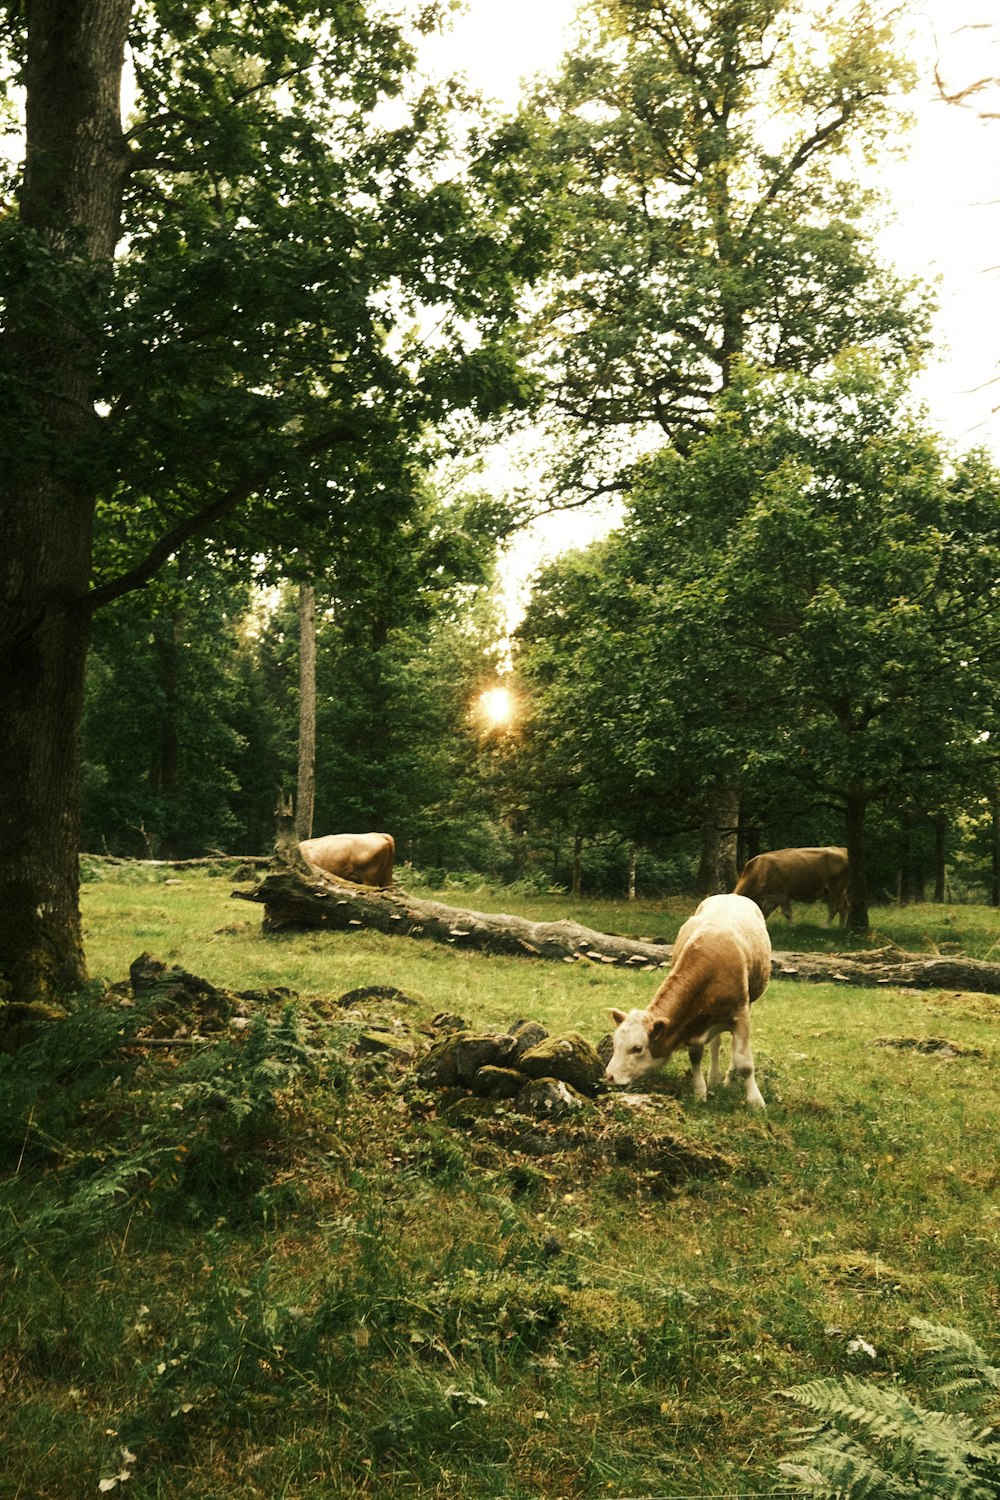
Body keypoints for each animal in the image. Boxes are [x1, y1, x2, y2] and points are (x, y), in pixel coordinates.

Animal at [605, 888, 773, 1116]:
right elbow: (695, 1056)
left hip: (750, 1001)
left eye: (637, 1048)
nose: (610, 1076)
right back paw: (714, 1077)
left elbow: (745, 1063)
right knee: (716, 1042)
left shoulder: (740, 1015)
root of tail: (732, 895)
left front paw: (756, 1102)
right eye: (615, 1044)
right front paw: (700, 1093)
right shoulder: (693, 1023)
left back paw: (728, 1079)